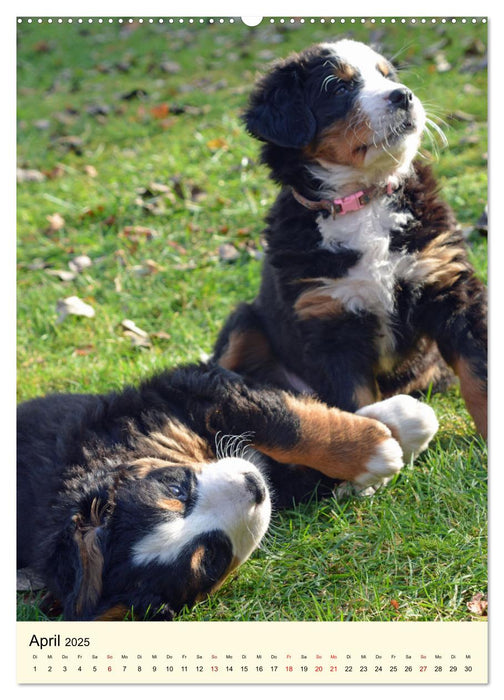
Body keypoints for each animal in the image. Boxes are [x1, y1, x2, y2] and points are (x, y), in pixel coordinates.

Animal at [17, 358, 438, 620]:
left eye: (177, 488)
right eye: (212, 560)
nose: (254, 487)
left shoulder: (181, 390)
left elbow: (284, 422)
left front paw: (393, 423)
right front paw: (382, 449)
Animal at [214, 38, 488, 440]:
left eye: (387, 75)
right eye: (339, 87)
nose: (404, 95)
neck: (363, 201)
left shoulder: (449, 285)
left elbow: (478, 373)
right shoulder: (329, 322)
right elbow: (357, 404)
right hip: (243, 319)